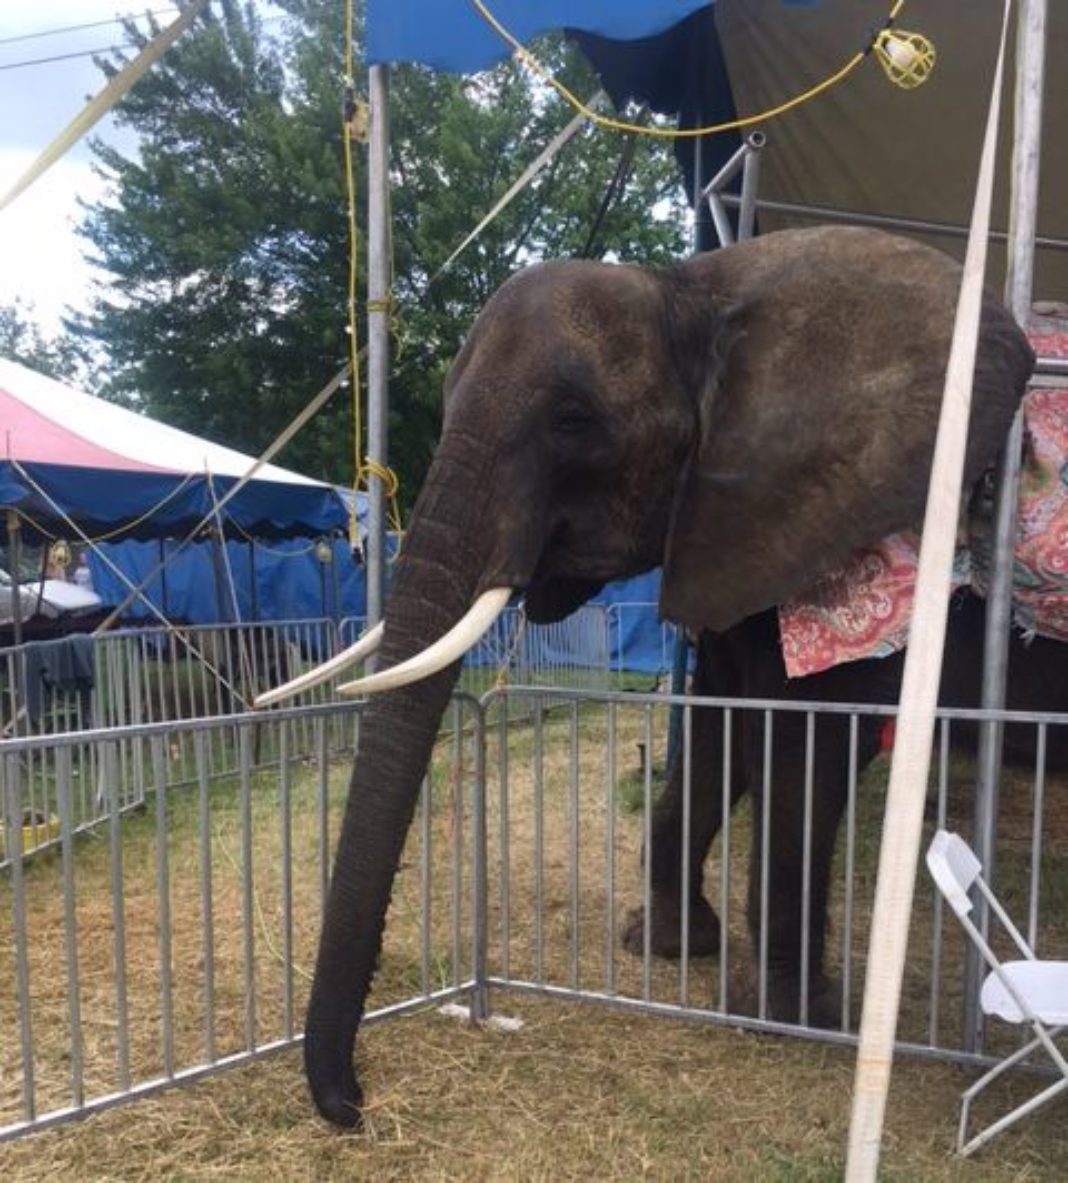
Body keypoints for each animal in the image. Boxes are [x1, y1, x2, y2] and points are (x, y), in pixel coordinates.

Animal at [277, 225, 1036, 1121]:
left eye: (573, 421)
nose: (353, 1104)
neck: (691, 294)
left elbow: (803, 740)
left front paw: (782, 1017)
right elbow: (717, 724)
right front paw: (668, 947)